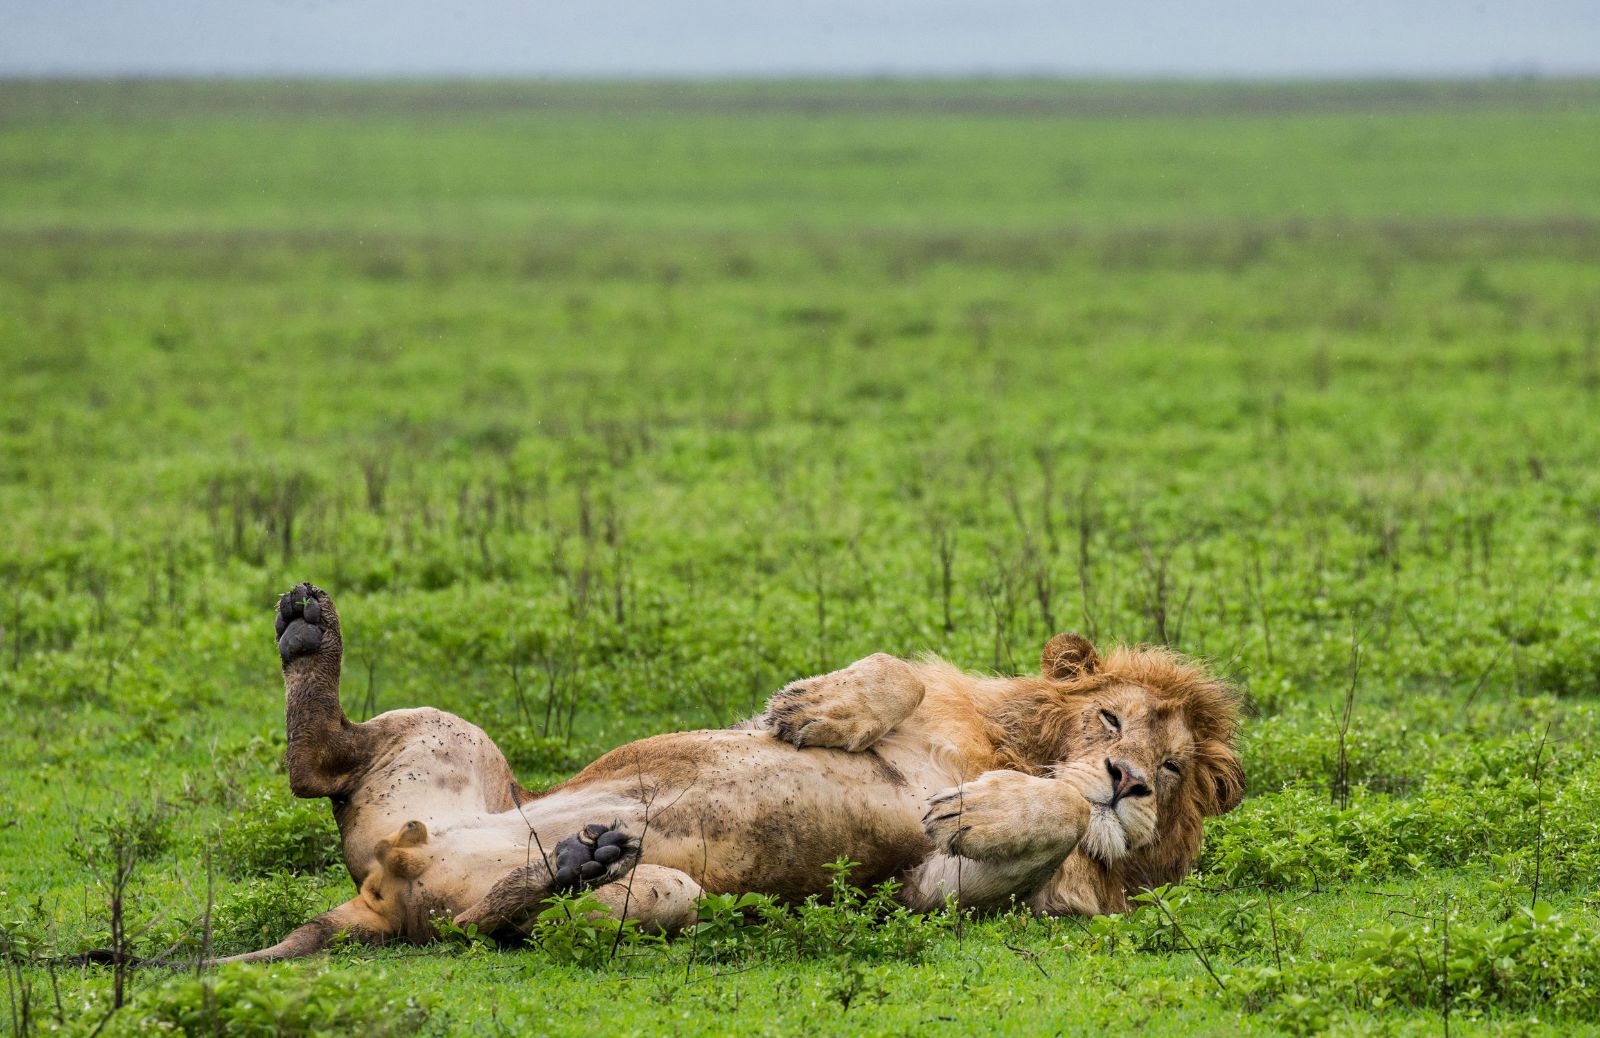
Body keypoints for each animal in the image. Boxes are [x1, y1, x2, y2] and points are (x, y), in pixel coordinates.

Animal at [206, 582, 1241, 966]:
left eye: (1173, 766)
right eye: (1110, 718)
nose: (1127, 779)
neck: (1014, 752)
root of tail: (380, 888)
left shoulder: (931, 893)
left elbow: (1038, 827)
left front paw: (1000, 809)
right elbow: (895, 673)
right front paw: (814, 708)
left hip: (663, 895)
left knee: (484, 923)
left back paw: (571, 863)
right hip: (447, 734)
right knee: (320, 762)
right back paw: (308, 628)